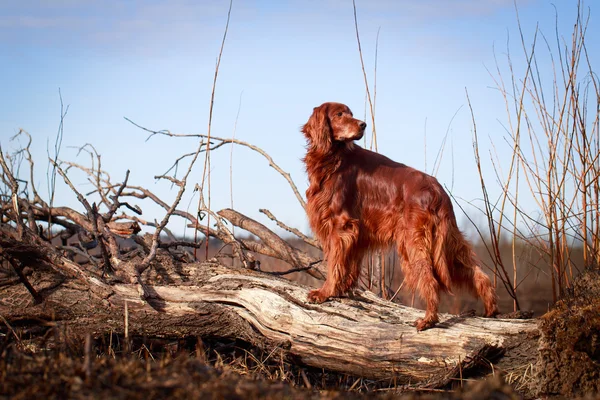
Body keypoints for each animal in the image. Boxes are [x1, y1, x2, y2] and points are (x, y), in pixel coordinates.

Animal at [302, 101, 500, 330]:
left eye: (349, 113)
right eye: (340, 114)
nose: (363, 125)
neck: (334, 157)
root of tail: (437, 190)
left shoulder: (340, 225)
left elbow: (334, 263)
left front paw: (325, 292)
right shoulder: (357, 233)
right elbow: (349, 265)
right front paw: (342, 290)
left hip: (413, 241)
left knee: (430, 279)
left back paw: (428, 319)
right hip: (448, 242)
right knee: (476, 272)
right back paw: (490, 308)